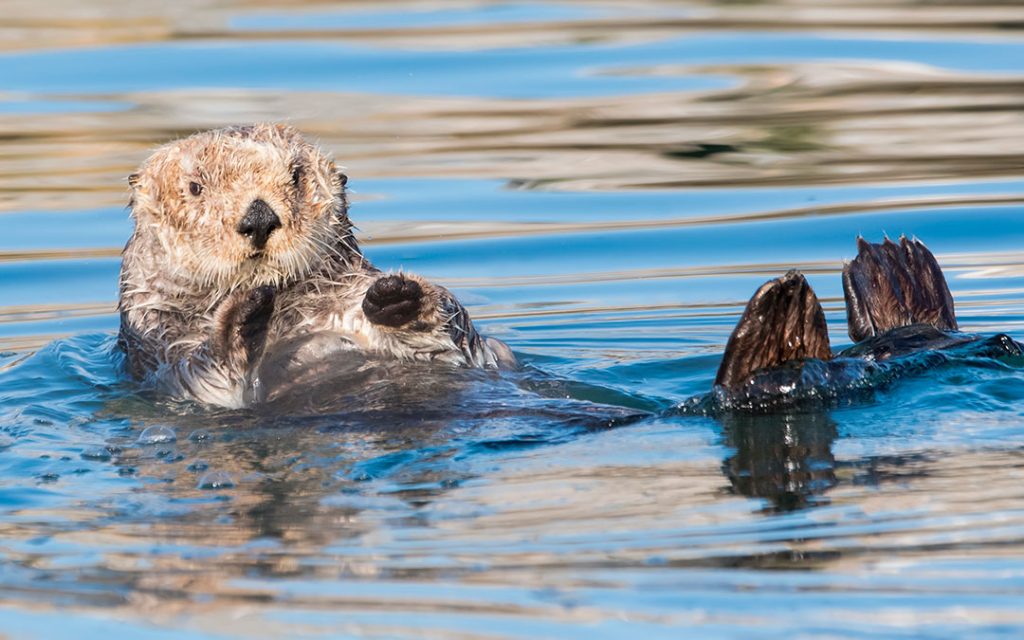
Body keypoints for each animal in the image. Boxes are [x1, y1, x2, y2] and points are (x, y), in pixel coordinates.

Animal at [120, 122, 516, 407]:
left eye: (296, 176)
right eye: (195, 187)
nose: (259, 219)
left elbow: (455, 344)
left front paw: (398, 297)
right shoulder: (158, 349)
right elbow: (208, 381)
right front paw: (242, 316)